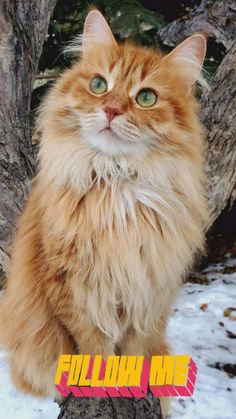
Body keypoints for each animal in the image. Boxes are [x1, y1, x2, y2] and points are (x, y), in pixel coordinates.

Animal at [0, 9, 208, 410]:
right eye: (99, 85)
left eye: (146, 97)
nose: (110, 109)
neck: (118, 185)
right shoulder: (69, 284)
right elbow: (94, 342)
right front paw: (101, 378)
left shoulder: (148, 287)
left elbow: (134, 346)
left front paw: (132, 379)